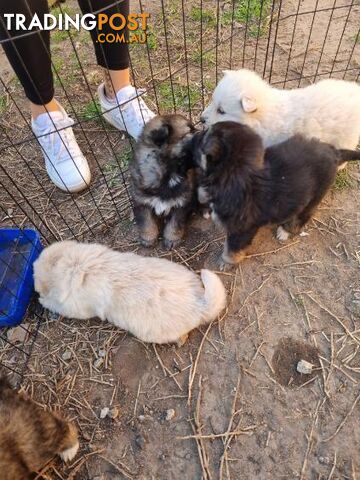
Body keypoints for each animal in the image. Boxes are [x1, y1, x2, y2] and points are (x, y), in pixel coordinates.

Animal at [131, 114, 197, 249]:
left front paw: (172, 239)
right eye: (190, 132)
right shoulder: (141, 202)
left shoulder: (182, 203)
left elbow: (175, 223)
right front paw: (148, 238)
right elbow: (146, 221)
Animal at [194, 122, 360, 268]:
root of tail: (335, 152)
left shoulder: (241, 230)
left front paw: (226, 263)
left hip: (315, 196)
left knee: (303, 216)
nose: (194, 135)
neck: (236, 173)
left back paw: (285, 231)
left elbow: (232, 249)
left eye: (204, 136)